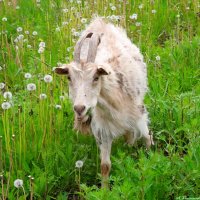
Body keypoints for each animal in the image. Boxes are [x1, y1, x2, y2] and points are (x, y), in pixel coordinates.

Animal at [54, 17, 153, 188]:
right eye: (69, 77)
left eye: (96, 77)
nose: (79, 108)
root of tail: (100, 22)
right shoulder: (102, 129)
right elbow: (105, 166)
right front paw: (105, 190)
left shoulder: (139, 114)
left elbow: (147, 139)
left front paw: (151, 163)